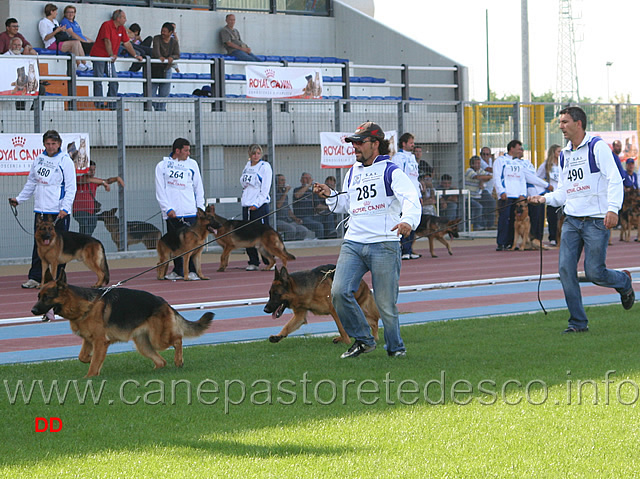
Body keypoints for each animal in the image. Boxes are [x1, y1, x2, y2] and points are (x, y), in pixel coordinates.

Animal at [31, 270, 215, 378]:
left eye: (47, 297)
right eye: (38, 296)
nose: (32, 310)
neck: (83, 305)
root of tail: (164, 302)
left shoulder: (100, 341)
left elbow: (93, 365)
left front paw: (90, 377)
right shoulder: (88, 340)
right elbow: (83, 357)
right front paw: (91, 360)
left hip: (158, 339)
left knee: (178, 339)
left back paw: (178, 361)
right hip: (143, 344)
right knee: (161, 361)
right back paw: (154, 372)